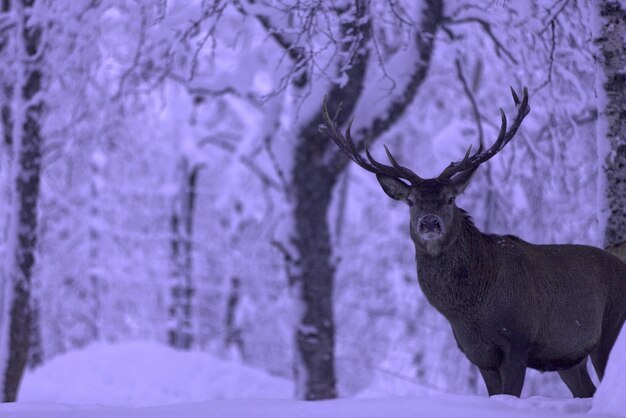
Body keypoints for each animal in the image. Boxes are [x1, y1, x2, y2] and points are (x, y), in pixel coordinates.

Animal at [322, 86, 624, 396]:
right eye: (411, 201)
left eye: (450, 199)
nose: (429, 222)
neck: (470, 313)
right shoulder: (478, 356)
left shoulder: (517, 342)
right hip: (568, 358)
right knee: (587, 391)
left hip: (611, 329)